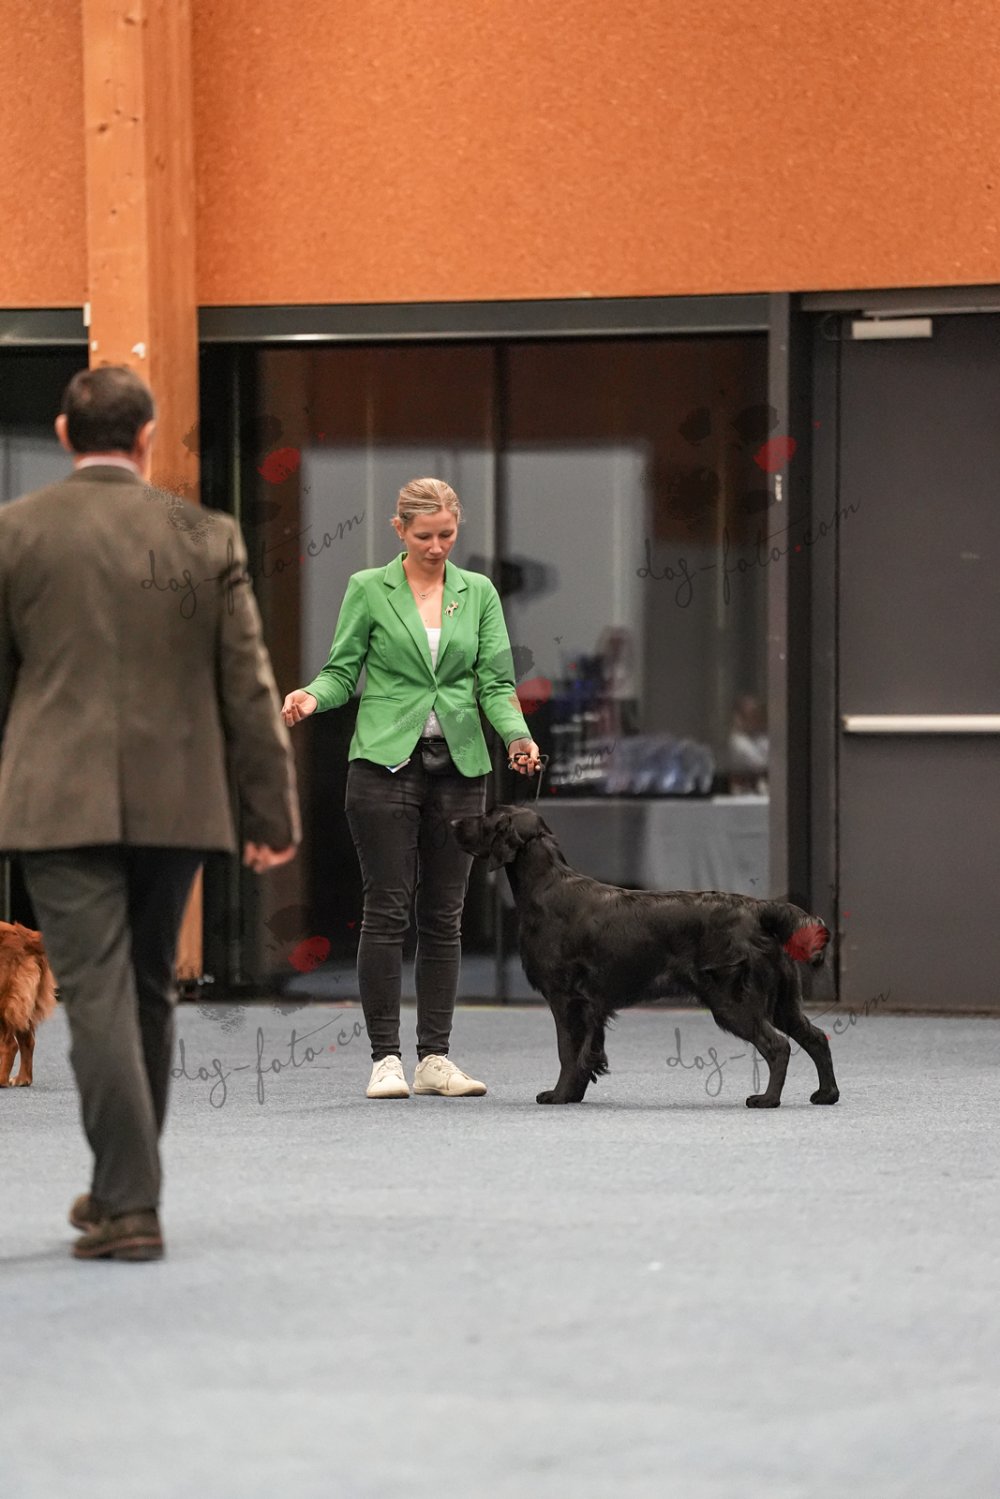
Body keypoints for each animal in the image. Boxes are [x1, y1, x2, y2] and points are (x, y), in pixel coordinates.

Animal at [452, 805, 839, 1108]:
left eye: (487, 816)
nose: (453, 821)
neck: (547, 887)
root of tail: (759, 909)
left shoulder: (565, 997)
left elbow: (568, 1050)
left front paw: (558, 1095)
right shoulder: (592, 1004)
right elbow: (587, 1053)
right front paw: (574, 1093)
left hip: (734, 1001)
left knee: (778, 1045)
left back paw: (767, 1099)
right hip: (783, 1001)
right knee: (816, 1037)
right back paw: (827, 1094)